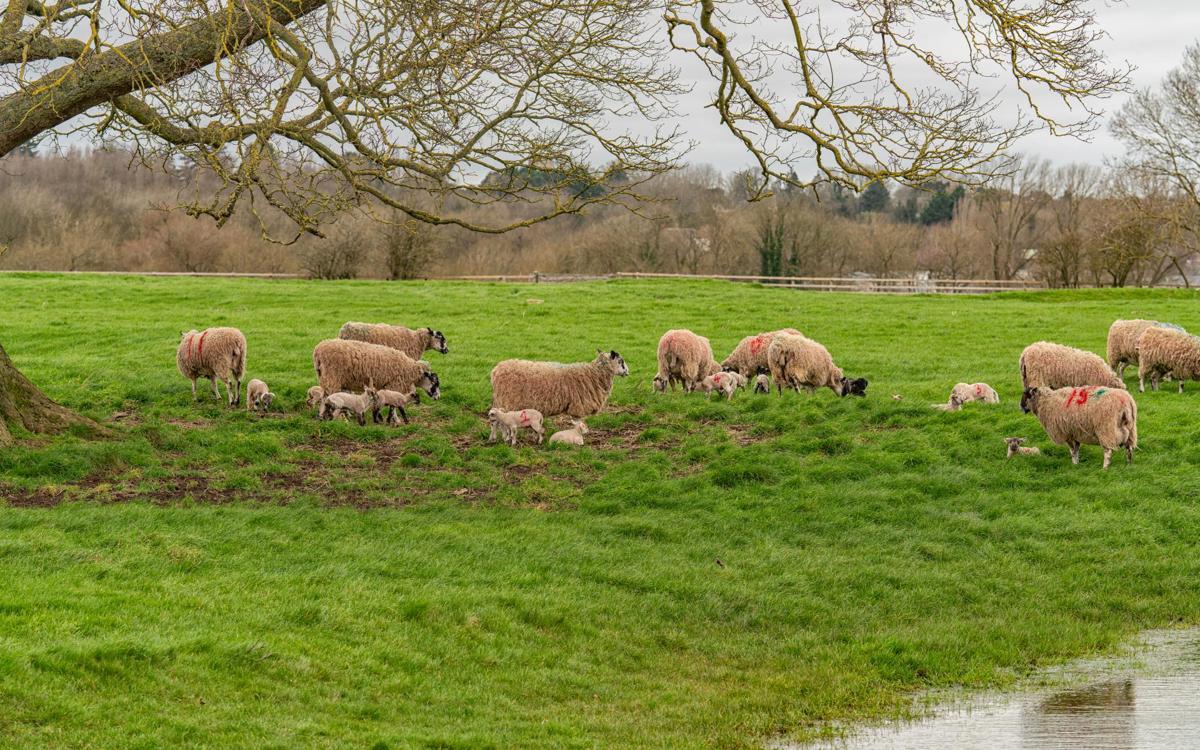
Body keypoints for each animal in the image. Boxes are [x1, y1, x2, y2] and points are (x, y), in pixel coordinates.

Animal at [313, 339, 441, 403]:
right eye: (435, 383)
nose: (438, 397)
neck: (409, 369)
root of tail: (318, 350)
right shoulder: (394, 385)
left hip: (326, 377)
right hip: (332, 377)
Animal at [490, 349, 628, 418]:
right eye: (621, 361)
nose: (628, 371)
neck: (594, 373)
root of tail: (496, 370)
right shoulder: (579, 408)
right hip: (508, 401)